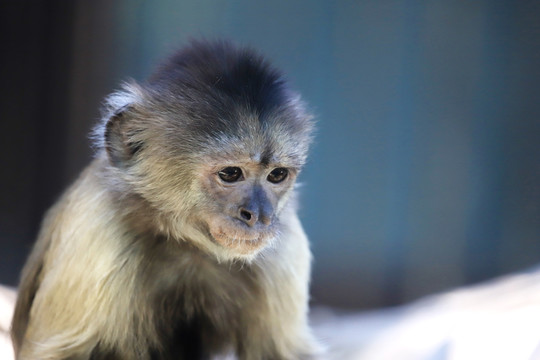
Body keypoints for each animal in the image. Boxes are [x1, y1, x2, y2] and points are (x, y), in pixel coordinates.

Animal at [9, 40, 320, 360]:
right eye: (231, 173)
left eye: (277, 175)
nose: (258, 214)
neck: (187, 243)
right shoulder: (100, 225)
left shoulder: (284, 241)